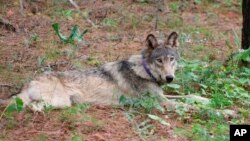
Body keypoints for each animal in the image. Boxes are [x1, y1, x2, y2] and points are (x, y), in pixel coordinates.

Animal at [16, 32, 180, 111]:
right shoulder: (160, 101)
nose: (170, 78)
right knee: (30, 106)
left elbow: (183, 97)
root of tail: (28, 83)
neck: (144, 71)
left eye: (171, 59)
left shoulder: (163, 96)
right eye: (159, 60)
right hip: (61, 102)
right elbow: (182, 105)